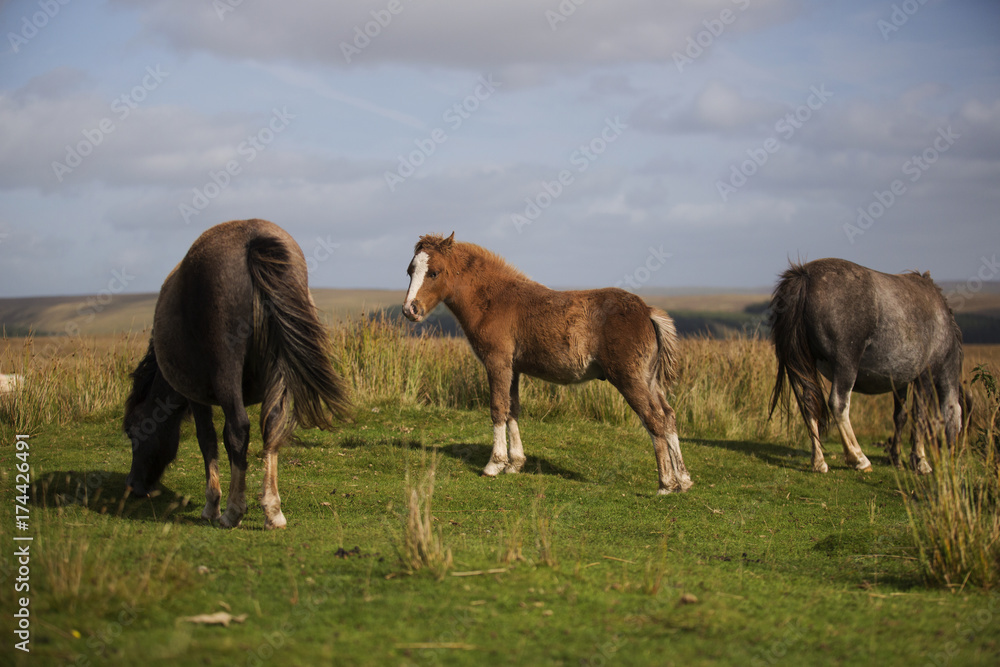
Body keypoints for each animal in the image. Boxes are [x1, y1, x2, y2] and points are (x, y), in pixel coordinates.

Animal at [124, 219, 350, 529]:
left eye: (133, 431)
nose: (133, 486)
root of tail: (252, 239)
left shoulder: (196, 396)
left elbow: (208, 440)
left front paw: (213, 504)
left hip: (226, 370)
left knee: (238, 429)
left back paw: (232, 512)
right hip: (277, 372)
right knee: (271, 426)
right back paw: (273, 511)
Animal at [401, 233, 691, 494]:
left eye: (434, 273)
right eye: (410, 271)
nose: (409, 310)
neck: (493, 300)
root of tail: (647, 311)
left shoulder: (497, 363)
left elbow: (497, 408)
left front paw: (494, 464)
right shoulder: (514, 368)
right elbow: (513, 409)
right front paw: (515, 464)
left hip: (630, 379)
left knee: (654, 419)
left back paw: (666, 484)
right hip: (648, 379)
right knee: (668, 415)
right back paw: (684, 481)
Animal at [768, 258, 963, 475]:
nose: (954, 457)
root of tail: (804, 275)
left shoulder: (901, 381)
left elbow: (901, 416)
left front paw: (896, 458)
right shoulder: (925, 377)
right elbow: (920, 416)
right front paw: (920, 461)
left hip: (807, 365)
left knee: (810, 403)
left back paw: (819, 462)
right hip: (846, 365)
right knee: (839, 404)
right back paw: (858, 458)